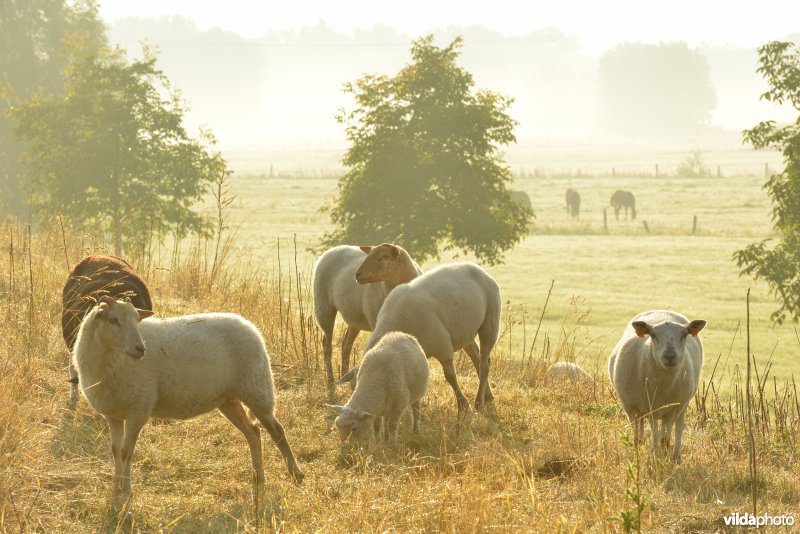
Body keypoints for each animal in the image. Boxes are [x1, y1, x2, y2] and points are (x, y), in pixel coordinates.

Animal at [72, 296, 304, 496]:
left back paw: (295, 474)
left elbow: (127, 452)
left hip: (256, 388)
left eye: (137, 320)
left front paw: (126, 490)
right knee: (253, 432)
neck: (110, 360)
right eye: (113, 320)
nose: (140, 349)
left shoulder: (137, 410)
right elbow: (115, 451)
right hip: (229, 399)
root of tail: (249, 325)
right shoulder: (113, 414)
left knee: (277, 431)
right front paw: (115, 488)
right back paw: (258, 477)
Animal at [312, 245, 424, 388]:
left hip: (354, 319)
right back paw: (331, 381)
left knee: (346, 344)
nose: (357, 274)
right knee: (327, 345)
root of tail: (332, 249)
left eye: (384, 257)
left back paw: (344, 376)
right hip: (323, 306)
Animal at [360, 262, 496, 414]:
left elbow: (450, 377)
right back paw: (488, 397)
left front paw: (463, 405)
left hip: (490, 321)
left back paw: (479, 402)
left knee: (484, 364)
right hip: (464, 331)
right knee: (477, 358)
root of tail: (476, 267)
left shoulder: (442, 346)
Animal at [608, 310, 708, 464]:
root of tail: (663, 311)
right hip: (633, 406)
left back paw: (676, 457)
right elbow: (653, 435)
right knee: (638, 429)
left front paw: (663, 457)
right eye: (653, 335)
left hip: (681, 406)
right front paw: (651, 457)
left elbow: (665, 439)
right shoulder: (649, 407)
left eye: (684, 334)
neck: (664, 385)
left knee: (678, 430)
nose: (670, 356)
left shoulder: (673, 408)